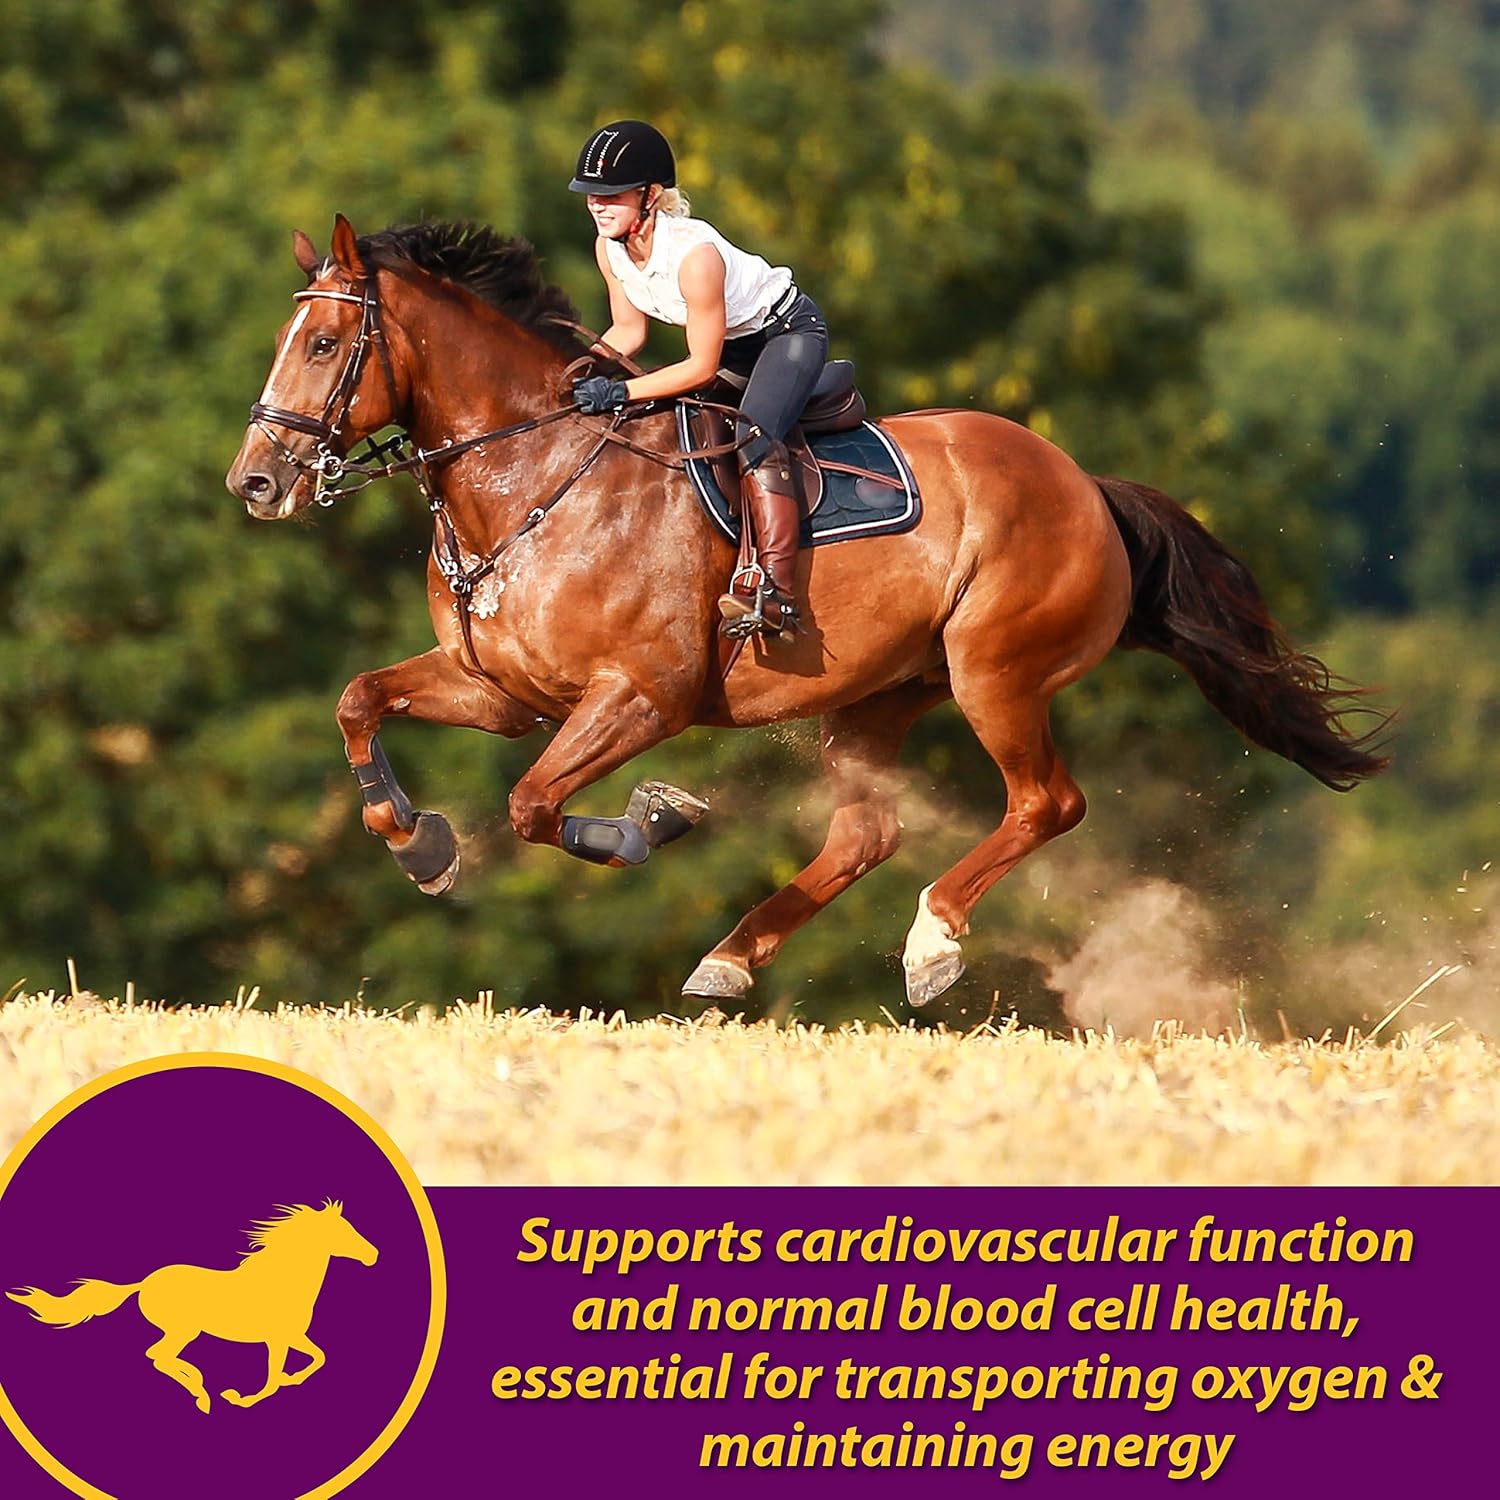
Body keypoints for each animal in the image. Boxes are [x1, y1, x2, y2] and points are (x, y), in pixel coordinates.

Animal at [7, 1200, 377, 1413]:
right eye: (343, 1232)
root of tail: (144, 1282)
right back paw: (202, 1391)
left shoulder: (293, 1336)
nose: (373, 1254)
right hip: (183, 1330)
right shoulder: (276, 1340)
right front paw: (240, 1398)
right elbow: (272, 1379)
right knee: (158, 1356)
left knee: (158, 1357)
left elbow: (318, 1358)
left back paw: (199, 1387)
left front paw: (290, 1380)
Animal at [225, 215, 1387, 1008]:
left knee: (1045, 803)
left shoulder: (641, 696)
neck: (533, 475)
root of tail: (1088, 487)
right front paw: (418, 843)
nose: (255, 483)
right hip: (880, 693)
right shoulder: (500, 689)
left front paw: (656, 818)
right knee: (870, 830)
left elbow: (534, 805)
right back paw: (729, 960)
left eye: (323, 347)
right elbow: (359, 700)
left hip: (995, 671)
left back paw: (929, 947)